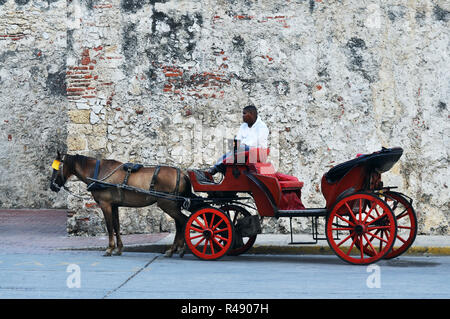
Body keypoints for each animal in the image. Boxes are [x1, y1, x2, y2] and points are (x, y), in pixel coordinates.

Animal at [50, 151, 192, 258]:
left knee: (184, 221)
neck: (98, 172)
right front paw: (119, 249)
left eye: (56, 168)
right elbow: (117, 226)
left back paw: (180, 249)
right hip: (172, 206)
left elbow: (109, 227)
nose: (52, 186)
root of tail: (182, 175)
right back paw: (175, 249)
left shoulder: (105, 205)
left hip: (168, 204)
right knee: (179, 224)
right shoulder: (114, 206)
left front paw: (110, 248)